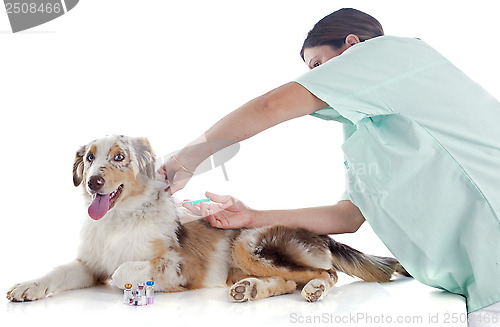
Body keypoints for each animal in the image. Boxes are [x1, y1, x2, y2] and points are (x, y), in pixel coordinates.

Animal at [6, 135, 406, 302]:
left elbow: (125, 271)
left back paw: (315, 289)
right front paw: (27, 286)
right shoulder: (88, 265)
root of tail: (320, 233)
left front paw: (135, 283)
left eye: (119, 157)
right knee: (285, 282)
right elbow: (56, 273)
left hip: (249, 244)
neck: (119, 221)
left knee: (325, 274)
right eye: (89, 157)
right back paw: (250, 290)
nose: (93, 181)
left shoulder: (178, 265)